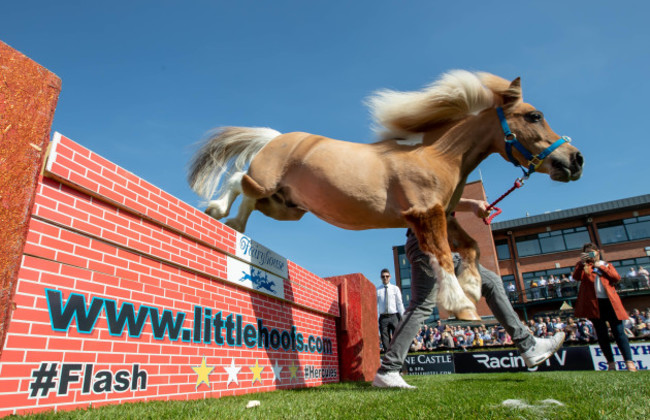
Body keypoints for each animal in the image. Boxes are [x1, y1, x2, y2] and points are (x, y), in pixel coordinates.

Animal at [187, 70, 584, 320]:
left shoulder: (444, 214)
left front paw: (472, 287)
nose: (575, 159)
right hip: (267, 184)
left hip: (287, 206)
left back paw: (235, 225)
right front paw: (464, 306)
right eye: (534, 116)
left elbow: (470, 247)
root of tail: (276, 137)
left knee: (248, 199)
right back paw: (216, 209)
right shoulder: (425, 214)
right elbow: (443, 257)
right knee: (237, 178)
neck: (437, 154)